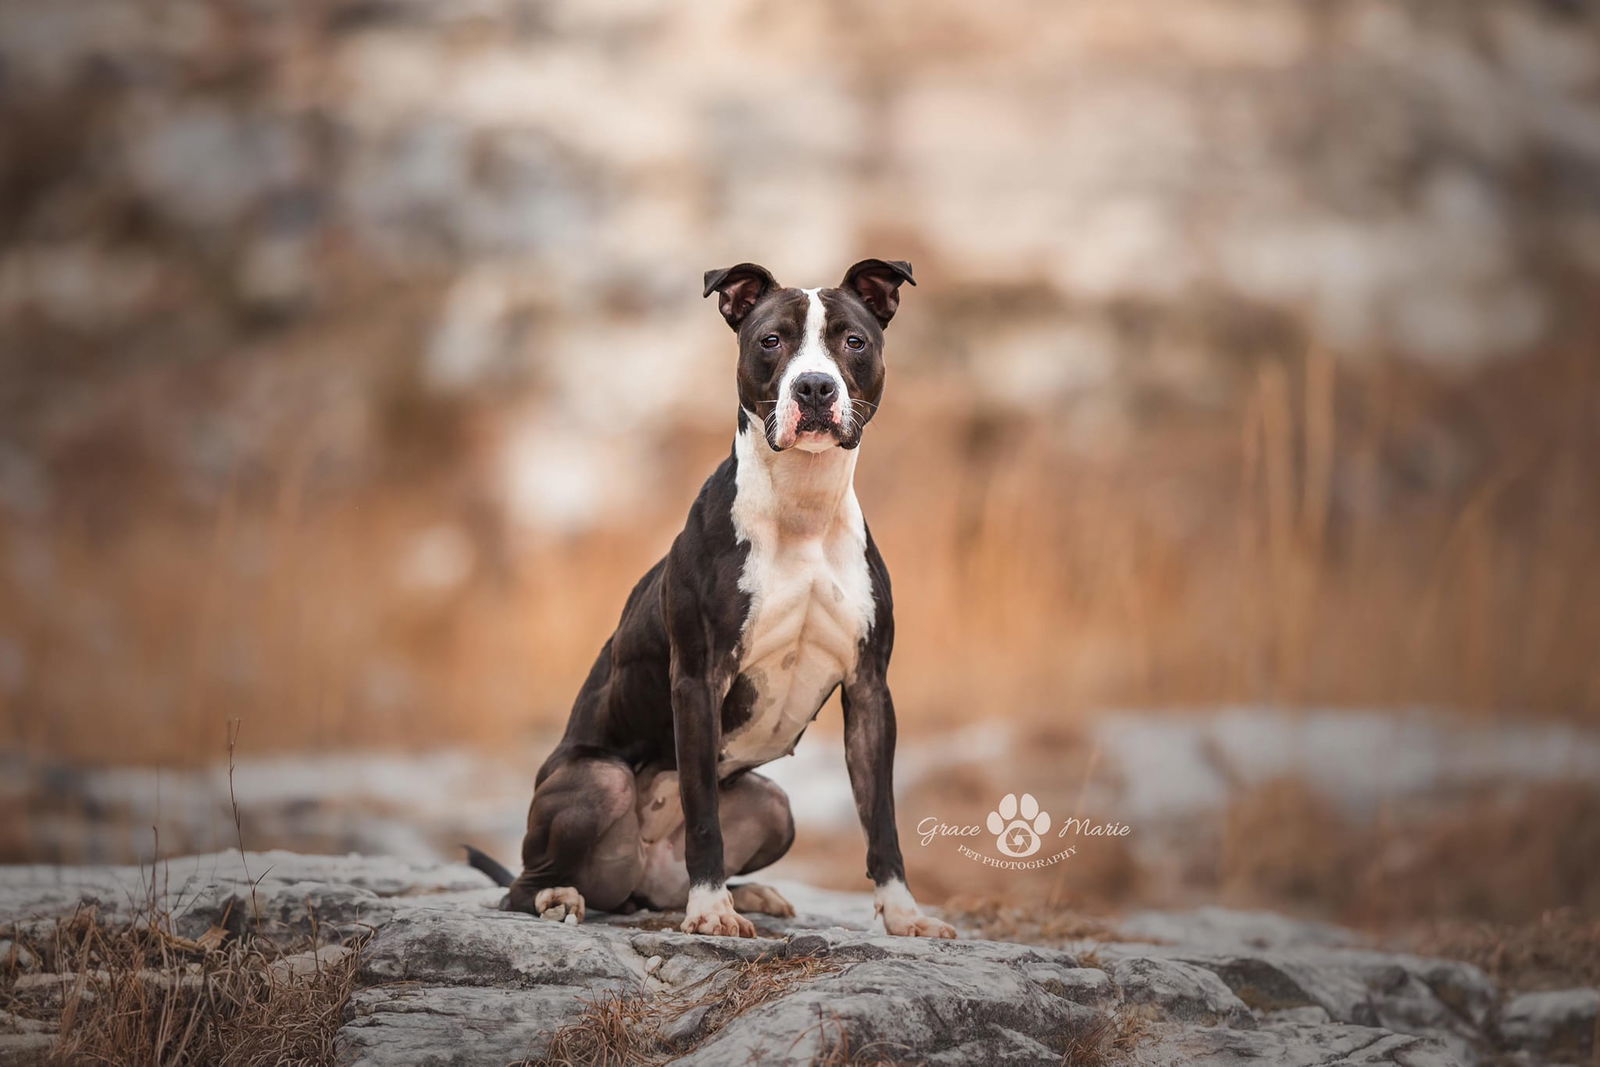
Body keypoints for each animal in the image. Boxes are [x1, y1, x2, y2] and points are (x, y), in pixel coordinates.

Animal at [467, 262, 953, 940]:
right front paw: (710, 911)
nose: (814, 388)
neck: (802, 510)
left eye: (853, 341)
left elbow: (881, 816)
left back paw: (750, 893)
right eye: (771, 340)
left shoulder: (869, 690)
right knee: (522, 882)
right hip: (598, 779)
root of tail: (636, 880)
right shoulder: (698, 680)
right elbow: (702, 812)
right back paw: (559, 895)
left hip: (775, 807)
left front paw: (904, 913)